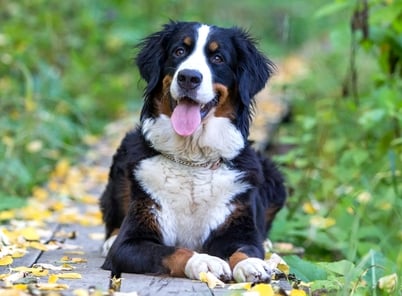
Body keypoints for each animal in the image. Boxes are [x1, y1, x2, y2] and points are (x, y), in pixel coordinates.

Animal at [102, 20, 288, 282]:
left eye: (218, 58)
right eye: (179, 51)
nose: (189, 77)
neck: (192, 160)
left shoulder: (238, 227)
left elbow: (245, 249)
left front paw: (252, 264)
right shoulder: (130, 242)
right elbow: (173, 251)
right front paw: (204, 261)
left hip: (273, 176)